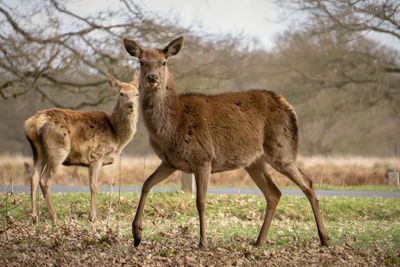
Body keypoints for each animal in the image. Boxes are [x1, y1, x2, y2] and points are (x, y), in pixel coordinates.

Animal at [24, 73, 139, 224]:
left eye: (137, 93)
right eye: (121, 93)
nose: (131, 104)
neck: (117, 136)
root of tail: (33, 123)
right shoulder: (96, 155)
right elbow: (94, 186)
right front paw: (93, 217)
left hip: (37, 151)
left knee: (34, 178)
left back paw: (34, 216)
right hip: (58, 149)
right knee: (45, 180)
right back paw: (55, 218)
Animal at [123, 36, 330, 249]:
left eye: (164, 62)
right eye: (142, 62)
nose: (152, 78)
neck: (172, 126)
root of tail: (288, 106)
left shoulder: (203, 157)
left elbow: (201, 201)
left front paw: (203, 242)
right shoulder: (170, 162)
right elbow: (146, 184)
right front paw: (137, 234)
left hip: (282, 149)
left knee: (308, 184)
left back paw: (324, 238)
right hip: (254, 162)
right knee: (274, 193)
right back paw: (259, 241)